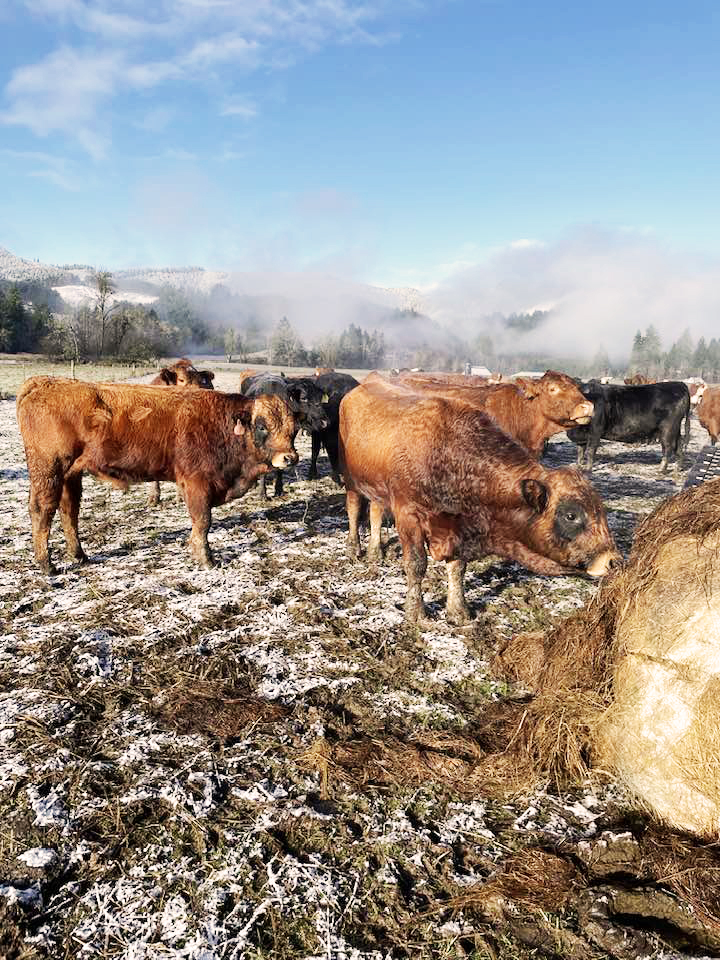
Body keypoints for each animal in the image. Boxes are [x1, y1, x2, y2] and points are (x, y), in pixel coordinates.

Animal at [17, 376, 298, 572]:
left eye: (293, 429)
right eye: (261, 426)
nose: (290, 457)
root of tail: (43, 382)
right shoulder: (197, 484)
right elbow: (203, 522)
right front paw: (205, 559)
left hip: (70, 474)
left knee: (69, 510)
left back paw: (79, 555)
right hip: (49, 470)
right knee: (42, 511)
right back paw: (46, 565)